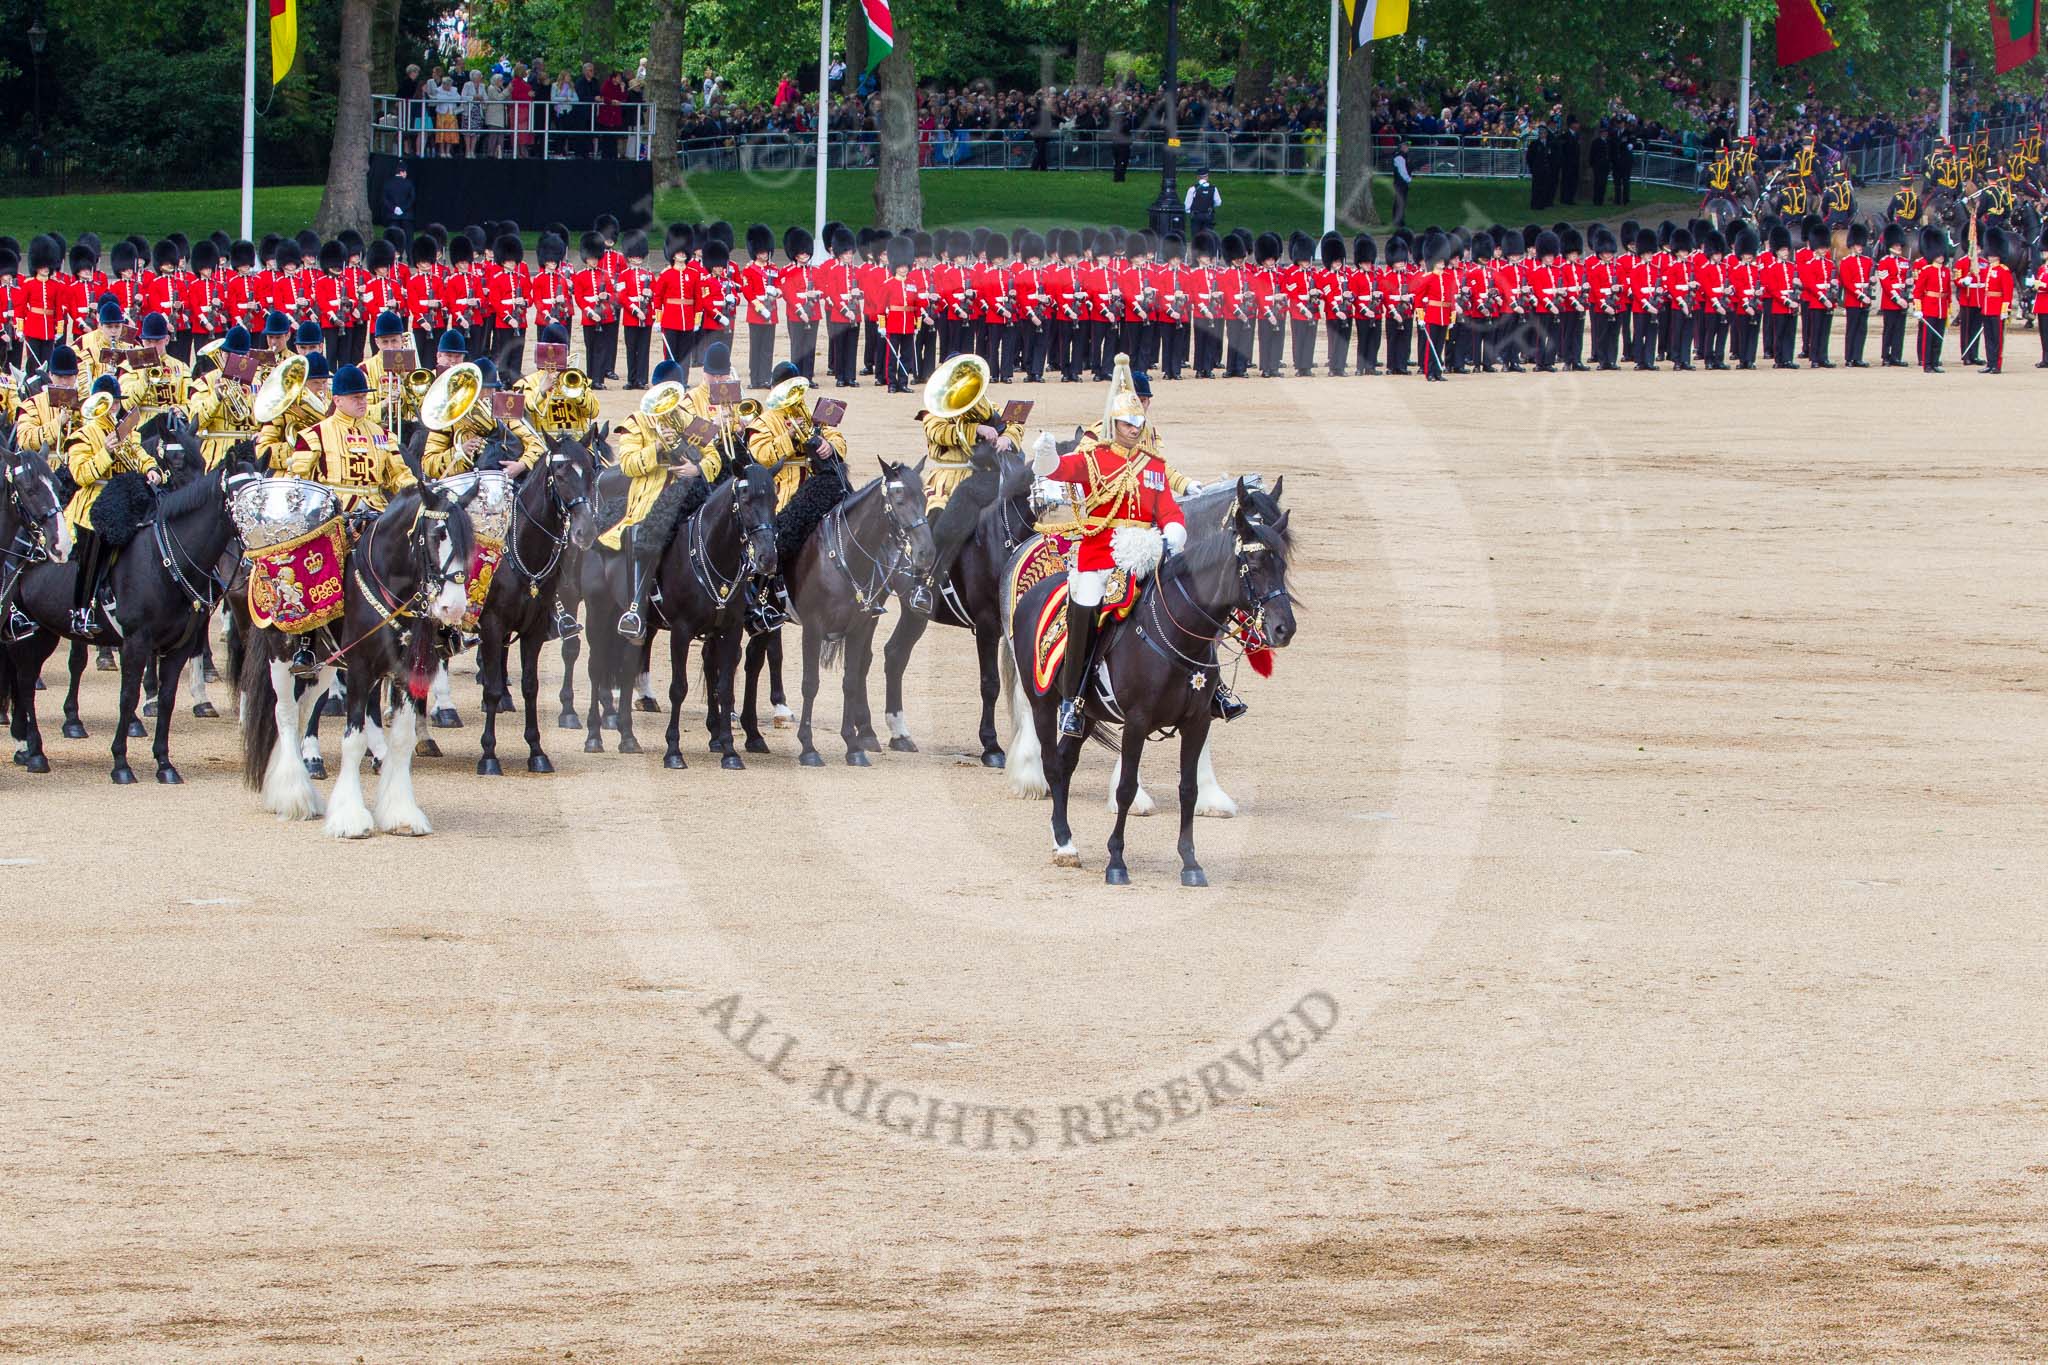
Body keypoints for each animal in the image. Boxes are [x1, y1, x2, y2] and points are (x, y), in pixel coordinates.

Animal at [6, 444, 262, 785]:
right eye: (241, 492)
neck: (166, 560)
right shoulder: (136, 641)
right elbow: (127, 696)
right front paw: (121, 763)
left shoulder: (178, 646)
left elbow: (167, 698)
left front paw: (165, 763)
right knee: (25, 680)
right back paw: (35, 749)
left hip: (43, 630)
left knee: (22, 679)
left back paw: (27, 746)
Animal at [241, 485, 477, 839]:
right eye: (438, 534)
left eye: (470, 542)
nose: (454, 607)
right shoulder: (359, 672)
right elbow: (354, 740)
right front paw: (350, 818)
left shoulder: (408, 673)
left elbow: (402, 740)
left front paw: (402, 814)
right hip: (281, 657)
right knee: (285, 714)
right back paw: (295, 796)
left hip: (322, 667)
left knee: (302, 713)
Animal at [477, 437, 602, 777]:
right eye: (559, 475)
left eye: (591, 472)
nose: (585, 532)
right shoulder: (492, 623)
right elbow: (491, 688)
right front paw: (489, 754)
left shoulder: (534, 628)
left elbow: (531, 685)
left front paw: (537, 751)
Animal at [741, 464, 937, 769]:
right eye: (899, 499)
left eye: (924, 498)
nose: (925, 553)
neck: (845, 556)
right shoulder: (812, 627)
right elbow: (810, 684)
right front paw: (808, 747)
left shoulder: (860, 625)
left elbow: (851, 680)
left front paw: (854, 746)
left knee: (753, 661)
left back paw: (752, 734)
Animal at [1007, 485, 1294, 892]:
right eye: (1253, 566)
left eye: (1283, 564)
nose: (1285, 628)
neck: (1177, 631)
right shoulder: (1137, 721)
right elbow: (1126, 787)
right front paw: (1116, 861)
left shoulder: (1197, 722)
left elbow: (1188, 789)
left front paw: (1190, 862)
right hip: (1044, 704)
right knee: (1049, 760)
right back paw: (1062, 842)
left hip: (1087, 714)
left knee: (1064, 762)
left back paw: (1064, 840)